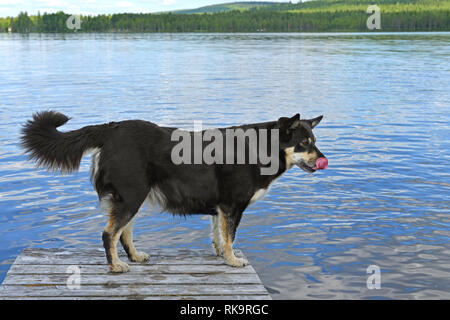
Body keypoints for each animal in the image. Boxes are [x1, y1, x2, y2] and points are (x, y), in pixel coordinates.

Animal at [20, 111, 326, 272]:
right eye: (303, 143)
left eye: (314, 140)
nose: (323, 160)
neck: (261, 147)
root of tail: (111, 129)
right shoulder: (232, 206)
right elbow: (229, 238)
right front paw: (232, 260)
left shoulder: (219, 208)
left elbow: (218, 235)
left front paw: (220, 255)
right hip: (131, 196)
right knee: (110, 234)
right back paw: (116, 266)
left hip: (132, 197)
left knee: (124, 233)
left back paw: (134, 257)